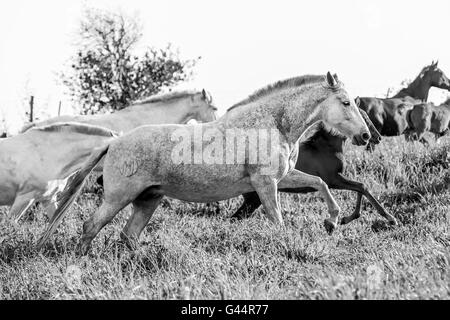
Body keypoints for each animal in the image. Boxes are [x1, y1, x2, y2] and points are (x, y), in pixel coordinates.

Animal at [232, 109, 398, 226]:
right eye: (364, 118)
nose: (376, 137)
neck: (326, 148)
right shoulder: (333, 180)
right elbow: (362, 186)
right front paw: (390, 218)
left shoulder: (335, 179)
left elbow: (360, 188)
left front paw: (344, 219)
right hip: (255, 198)